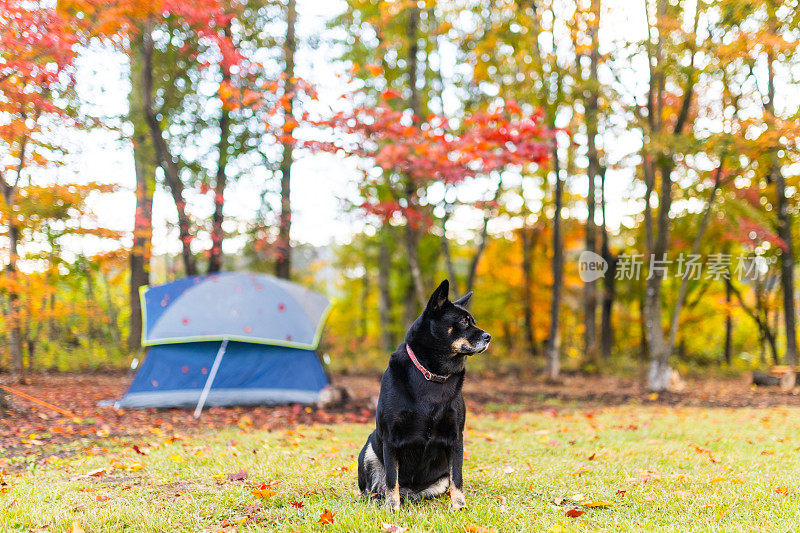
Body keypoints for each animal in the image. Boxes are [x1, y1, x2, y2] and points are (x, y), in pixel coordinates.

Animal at [358, 280, 494, 510]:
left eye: (473, 321)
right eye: (463, 321)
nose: (489, 337)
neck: (432, 374)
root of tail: (410, 492)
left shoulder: (456, 436)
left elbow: (457, 476)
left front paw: (459, 505)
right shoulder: (390, 437)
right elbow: (391, 478)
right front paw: (392, 507)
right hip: (369, 449)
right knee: (375, 487)